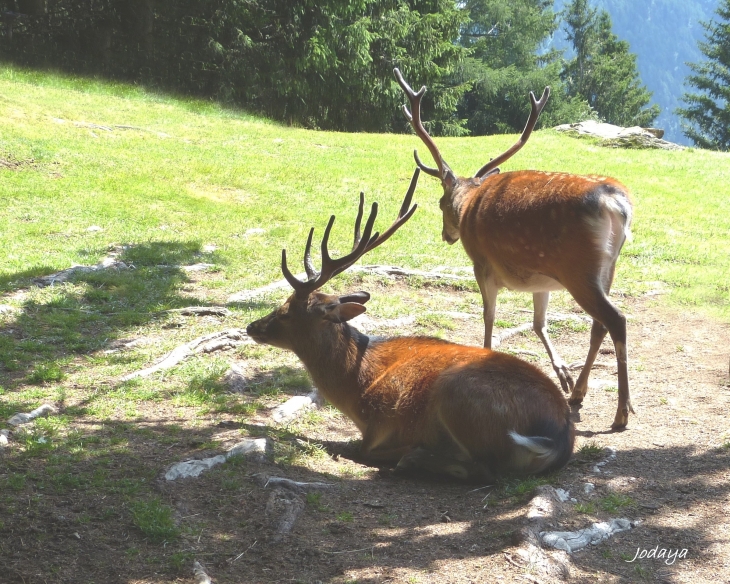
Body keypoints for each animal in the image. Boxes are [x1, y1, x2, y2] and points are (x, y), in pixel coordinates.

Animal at [246, 168, 576, 480]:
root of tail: (557, 437)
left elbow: (358, 448)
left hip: (457, 393)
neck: (356, 387)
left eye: (286, 311)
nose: (252, 327)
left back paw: (415, 459)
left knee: (485, 469)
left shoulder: (381, 426)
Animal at [392, 67, 632, 428]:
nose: (447, 235)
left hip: (579, 269)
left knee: (616, 319)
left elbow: (489, 316)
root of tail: (617, 202)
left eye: (440, 203)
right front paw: (562, 375)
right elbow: (538, 323)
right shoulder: (541, 279)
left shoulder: (482, 264)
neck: (469, 207)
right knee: (598, 325)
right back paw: (578, 393)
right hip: (607, 269)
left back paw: (621, 413)